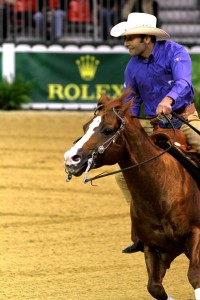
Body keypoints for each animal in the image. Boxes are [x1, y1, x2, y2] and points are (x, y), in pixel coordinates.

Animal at [63, 92, 200, 298]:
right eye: (85, 126)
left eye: (107, 130)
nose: (70, 159)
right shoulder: (153, 248)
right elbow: (154, 287)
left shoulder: (196, 235)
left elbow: (194, 276)